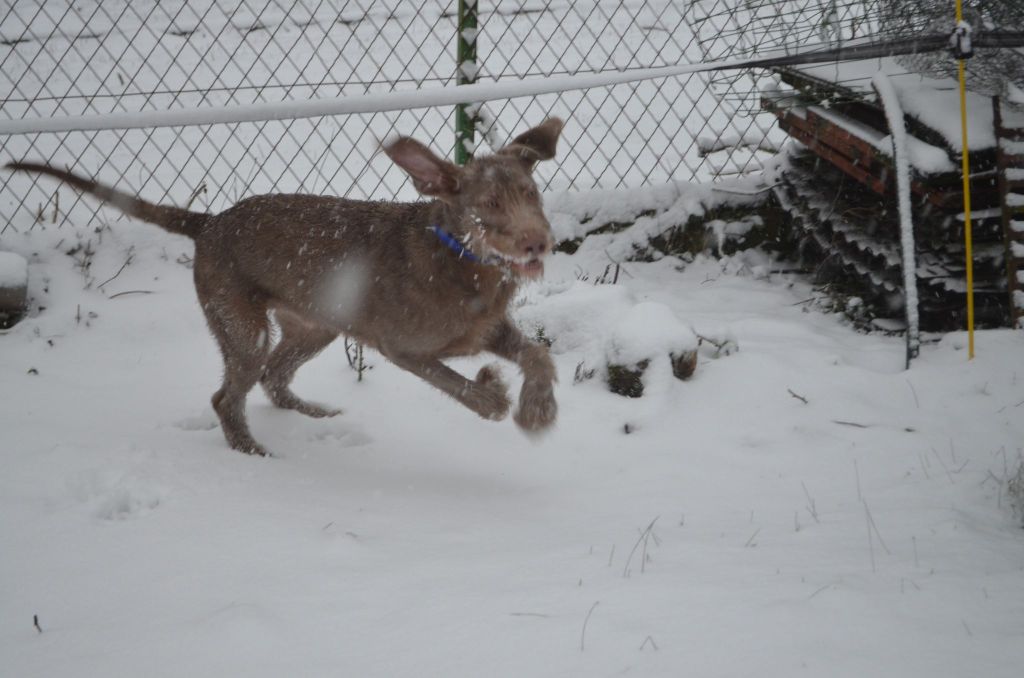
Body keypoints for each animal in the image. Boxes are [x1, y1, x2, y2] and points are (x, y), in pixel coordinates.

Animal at [4, 118, 565, 456]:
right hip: (241, 326)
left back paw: (312, 413)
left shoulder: (486, 328)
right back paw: (251, 451)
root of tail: (208, 223)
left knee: (274, 378)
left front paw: (538, 411)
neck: (462, 259)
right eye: (488, 205)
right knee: (227, 396)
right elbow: (462, 388)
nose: (538, 243)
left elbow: (539, 355)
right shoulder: (405, 349)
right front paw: (496, 394)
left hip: (315, 323)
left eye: (531, 193)